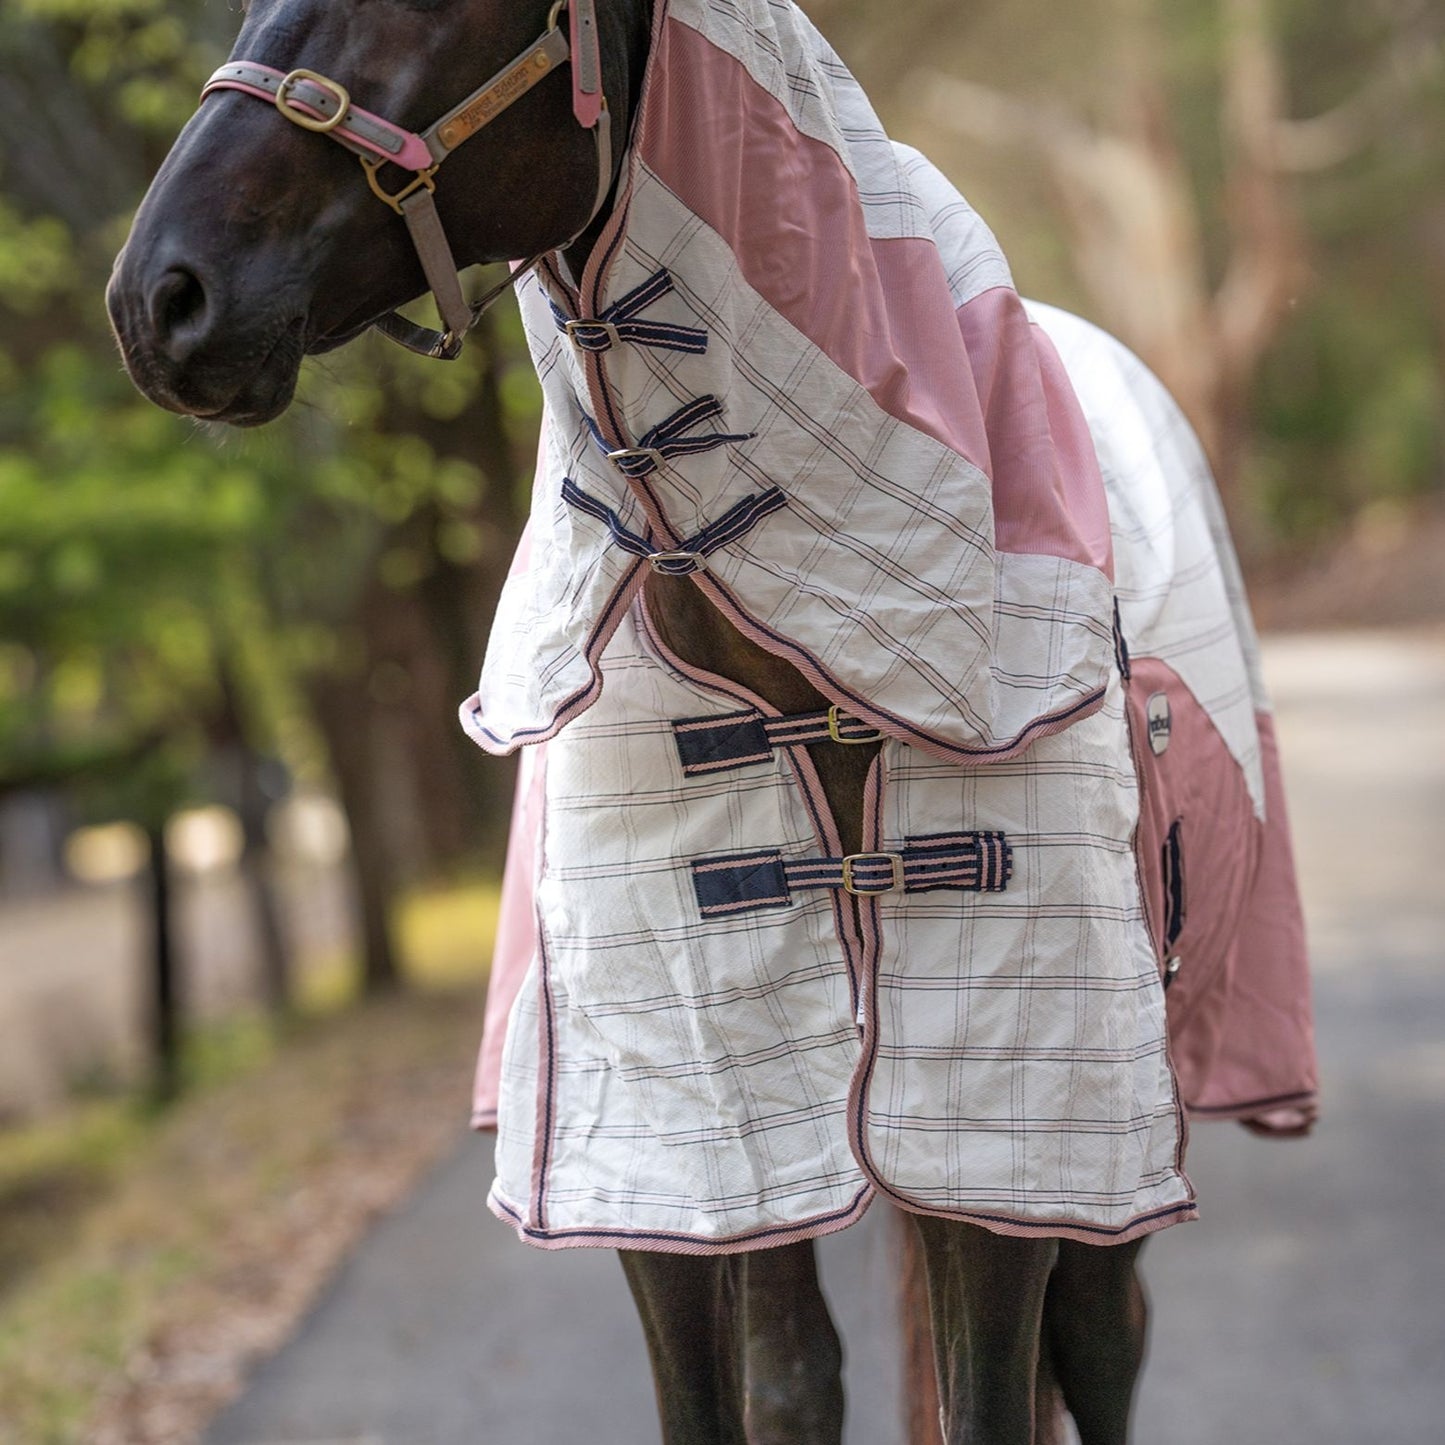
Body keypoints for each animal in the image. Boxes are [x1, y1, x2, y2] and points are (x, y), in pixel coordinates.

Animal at [106, 2, 1318, 1441]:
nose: (159, 300)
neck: (808, 669)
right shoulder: (675, 1153)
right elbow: (747, 1383)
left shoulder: (1006, 1145)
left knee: (1099, 1338)